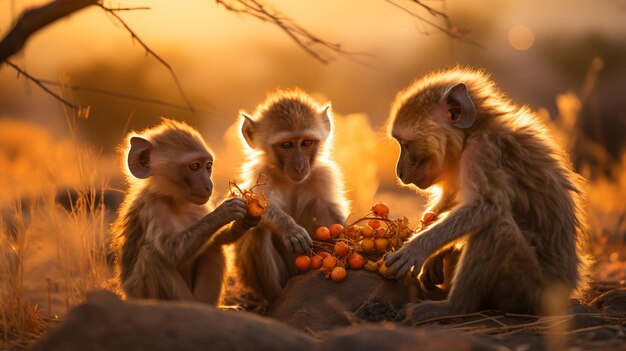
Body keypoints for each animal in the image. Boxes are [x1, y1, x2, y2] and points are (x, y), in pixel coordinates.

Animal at [111, 119, 260, 306]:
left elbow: (215, 240)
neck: (176, 202)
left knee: (213, 249)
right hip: (139, 294)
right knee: (151, 257)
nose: (209, 185)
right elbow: (170, 252)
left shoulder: (198, 206)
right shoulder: (153, 207)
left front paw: (244, 222)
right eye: (195, 166)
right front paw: (224, 211)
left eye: (208, 166)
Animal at [233, 89, 346, 302]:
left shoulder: (322, 174)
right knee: (258, 230)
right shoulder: (263, 173)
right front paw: (290, 229)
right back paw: (274, 298)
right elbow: (256, 207)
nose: (300, 166)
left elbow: (331, 213)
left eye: (307, 142)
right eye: (287, 145)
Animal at [382, 67, 588, 320]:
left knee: (497, 228)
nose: (399, 172)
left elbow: (486, 205)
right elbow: (451, 198)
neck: (472, 132)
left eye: (406, 144)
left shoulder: (483, 150)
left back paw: (453, 306)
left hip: (530, 289)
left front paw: (417, 248)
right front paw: (432, 242)